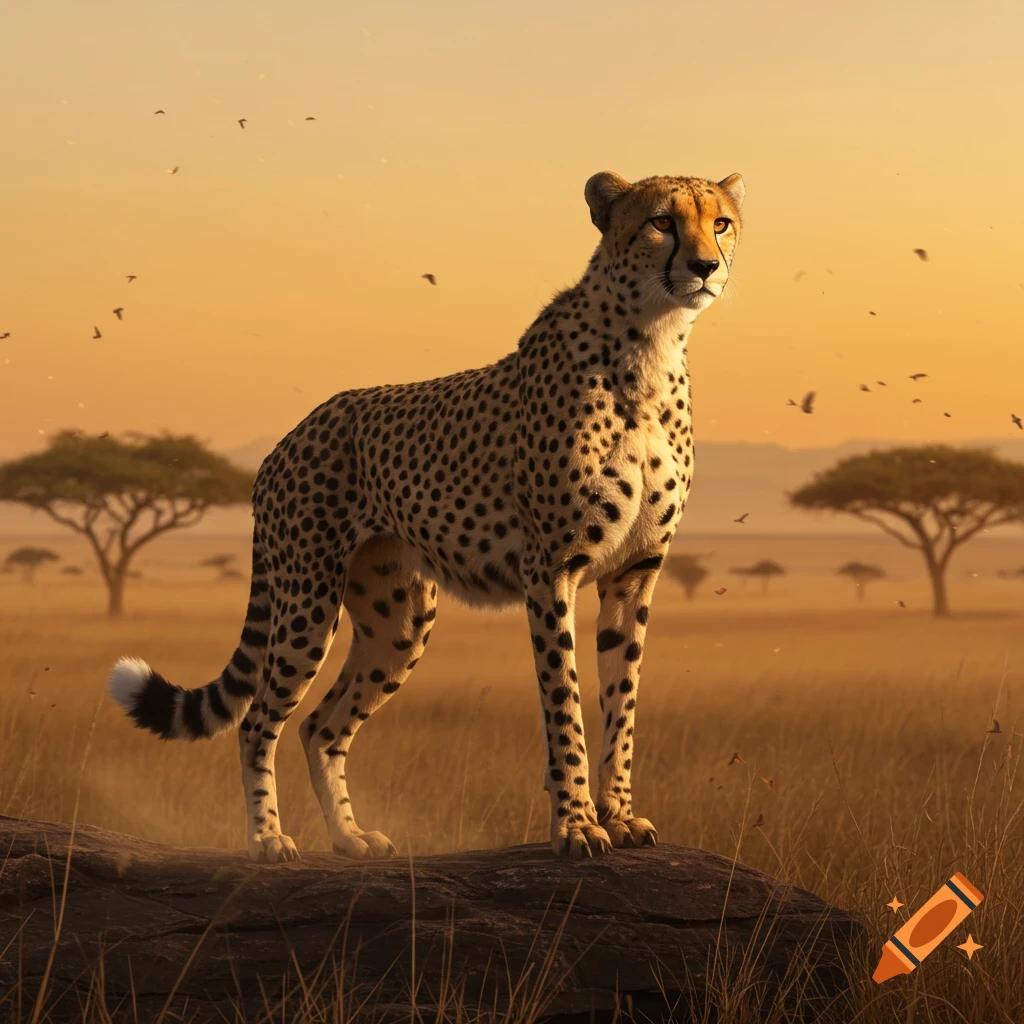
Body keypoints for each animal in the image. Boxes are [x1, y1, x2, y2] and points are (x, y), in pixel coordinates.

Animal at [108, 169, 745, 863]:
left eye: (720, 222)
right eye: (661, 221)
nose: (705, 266)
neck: (651, 344)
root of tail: (289, 438)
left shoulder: (634, 573)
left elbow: (621, 705)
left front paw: (621, 815)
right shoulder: (551, 570)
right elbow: (565, 707)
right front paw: (576, 825)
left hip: (398, 620)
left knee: (321, 726)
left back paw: (350, 837)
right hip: (307, 598)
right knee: (258, 721)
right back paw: (268, 839)